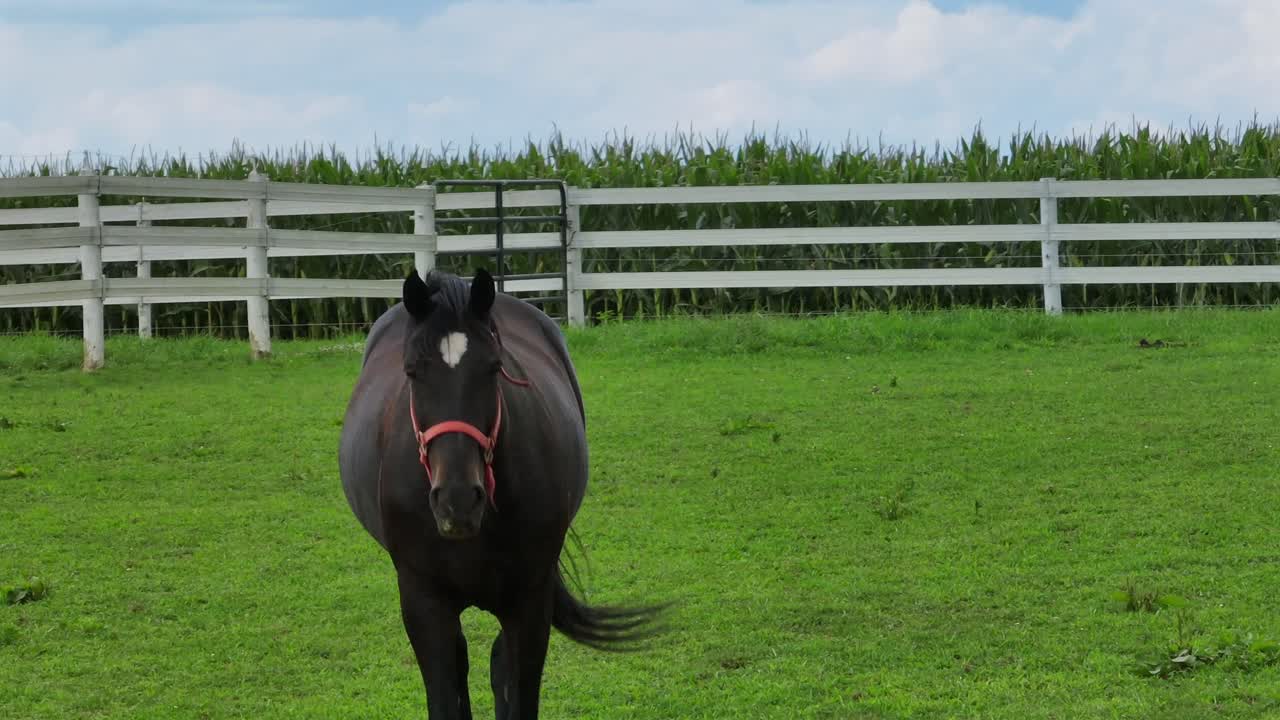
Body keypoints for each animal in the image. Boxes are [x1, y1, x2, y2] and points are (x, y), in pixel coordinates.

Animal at [338, 267, 663, 719]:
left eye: (493, 368)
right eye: (412, 371)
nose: (457, 500)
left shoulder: (528, 602)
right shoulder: (423, 603)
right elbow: (446, 697)